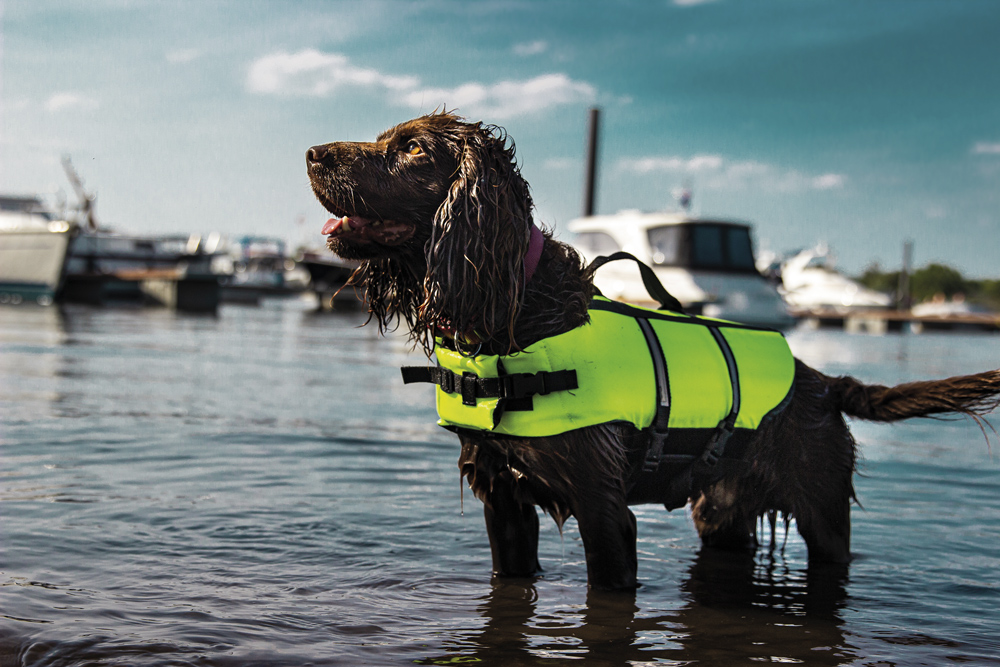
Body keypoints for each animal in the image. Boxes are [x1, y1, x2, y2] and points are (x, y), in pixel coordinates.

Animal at [304, 112, 1000, 592]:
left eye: (412, 148)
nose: (311, 153)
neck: (514, 316)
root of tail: (827, 381)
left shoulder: (604, 509)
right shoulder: (503, 503)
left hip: (822, 513)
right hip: (722, 517)